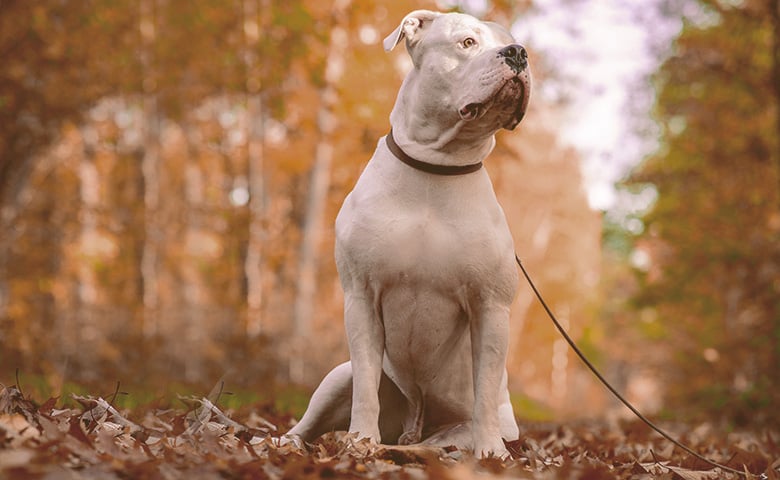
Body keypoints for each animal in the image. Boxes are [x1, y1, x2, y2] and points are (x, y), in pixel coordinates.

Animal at [286, 8, 532, 458]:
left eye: (512, 40)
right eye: (467, 42)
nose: (518, 53)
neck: (436, 168)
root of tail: (415, 426)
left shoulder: (491, 306)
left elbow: (486, 386)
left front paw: (491, 451)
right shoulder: (361, 297)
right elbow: (366, 385)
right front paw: (361, 440)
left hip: (449, 432)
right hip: (337, 377)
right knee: (314, 419)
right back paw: (284, 441)